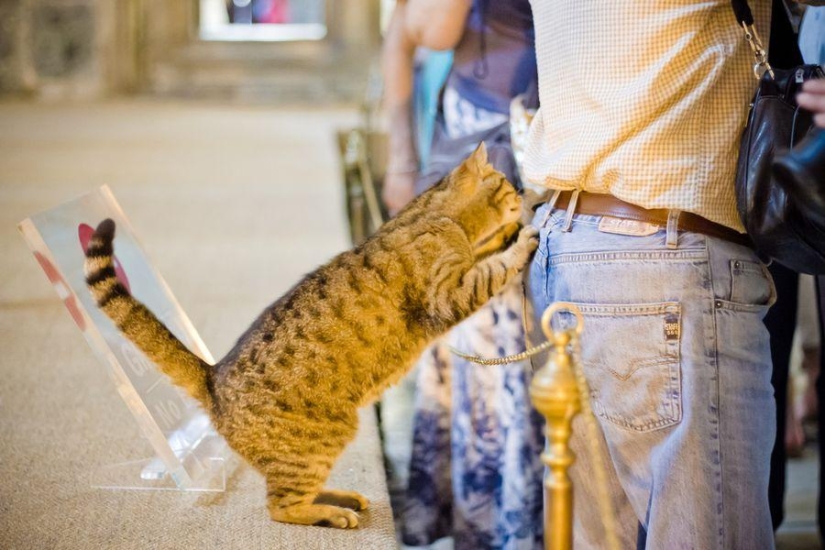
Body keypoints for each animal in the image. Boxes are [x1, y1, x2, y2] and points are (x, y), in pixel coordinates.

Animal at [83, 143, 536, 532]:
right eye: (506, 182)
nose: (524, 191)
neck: (435, 215)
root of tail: (212, 377)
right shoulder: (449, 292)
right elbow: (493, 270)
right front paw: (521, 240)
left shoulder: (462, 270)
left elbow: (486, 255)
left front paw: (510, 233)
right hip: (321, 441)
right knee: (281, 506)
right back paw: (332, 513)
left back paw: (341, 499)